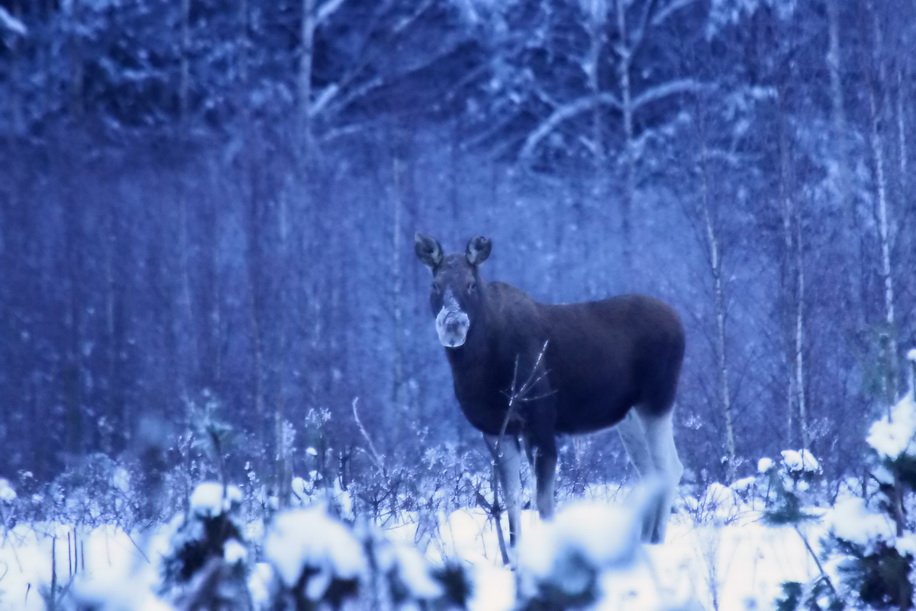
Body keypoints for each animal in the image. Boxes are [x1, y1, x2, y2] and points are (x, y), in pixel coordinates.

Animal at [418, 233, 684, 544]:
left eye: (471, 284)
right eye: (435, 285)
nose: (454, 325)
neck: (478, 367)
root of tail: (679, 322)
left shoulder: (540, 424)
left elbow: (543, 502)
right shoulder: (496, 430)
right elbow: (512, 500)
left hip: (657, 401)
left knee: (669, 468)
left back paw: (655, 540)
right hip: (628, 417)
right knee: (652, 473)